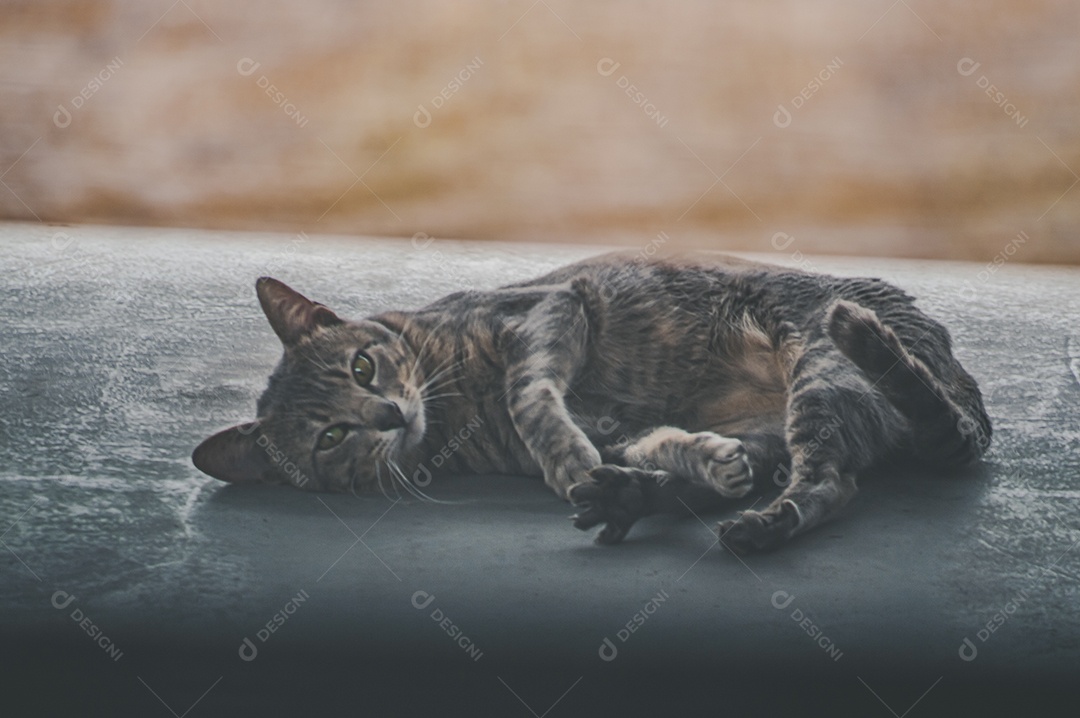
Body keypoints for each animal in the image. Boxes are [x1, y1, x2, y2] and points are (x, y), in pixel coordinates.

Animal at [192, 251, 989, 552]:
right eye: (329, 438)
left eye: (363, 367)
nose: (389, 416)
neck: (452, 418)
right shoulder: (617, 424)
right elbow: (650, 439)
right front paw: (693, 456)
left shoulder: (548, 311)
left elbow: (530, 394)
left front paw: (564, 457)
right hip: (783, 420)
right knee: (772, 475)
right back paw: (632, 496)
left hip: (822, 372)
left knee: (828, 484)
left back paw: (756, 524)